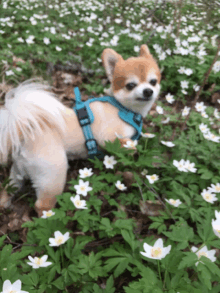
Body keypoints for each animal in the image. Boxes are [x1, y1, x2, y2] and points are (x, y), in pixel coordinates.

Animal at [0, 44, 162, 216]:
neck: (122, 108)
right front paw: (132, 147)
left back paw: (5, 203)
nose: (148, 91)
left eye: (153, 81)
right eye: (130, 85)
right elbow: (123, 142)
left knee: (8, 188)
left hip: (16, 173)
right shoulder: (107, 136)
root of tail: (25, 131)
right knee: (42, 205)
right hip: (52, 174)